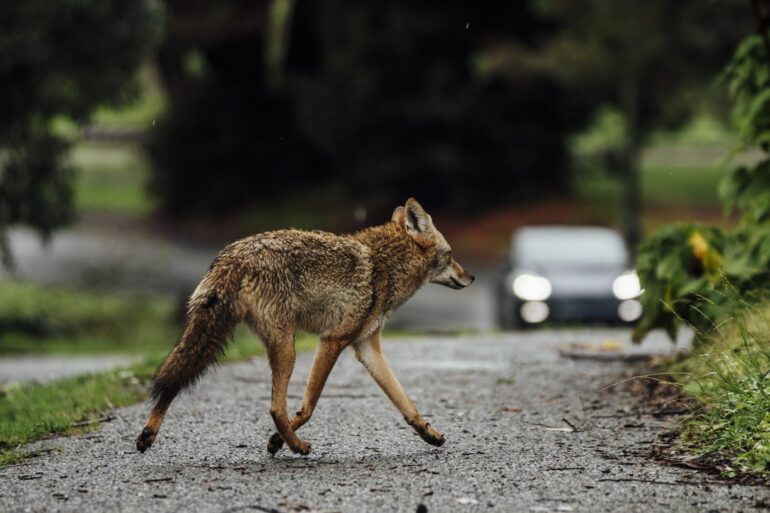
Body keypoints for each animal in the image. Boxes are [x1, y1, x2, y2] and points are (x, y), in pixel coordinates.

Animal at [136, 198, 474, 456]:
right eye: (452, 255)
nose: (471, 277)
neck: (384, 267)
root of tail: (235, 255)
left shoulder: (367, 349)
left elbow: (406, 403)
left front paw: (430, 434)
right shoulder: (332, 340)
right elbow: (309, 405)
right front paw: (277, 442)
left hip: (219, 335)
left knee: (174, 381)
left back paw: (147, 435)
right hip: (287, 349)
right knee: (275, 407)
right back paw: (297, 446)